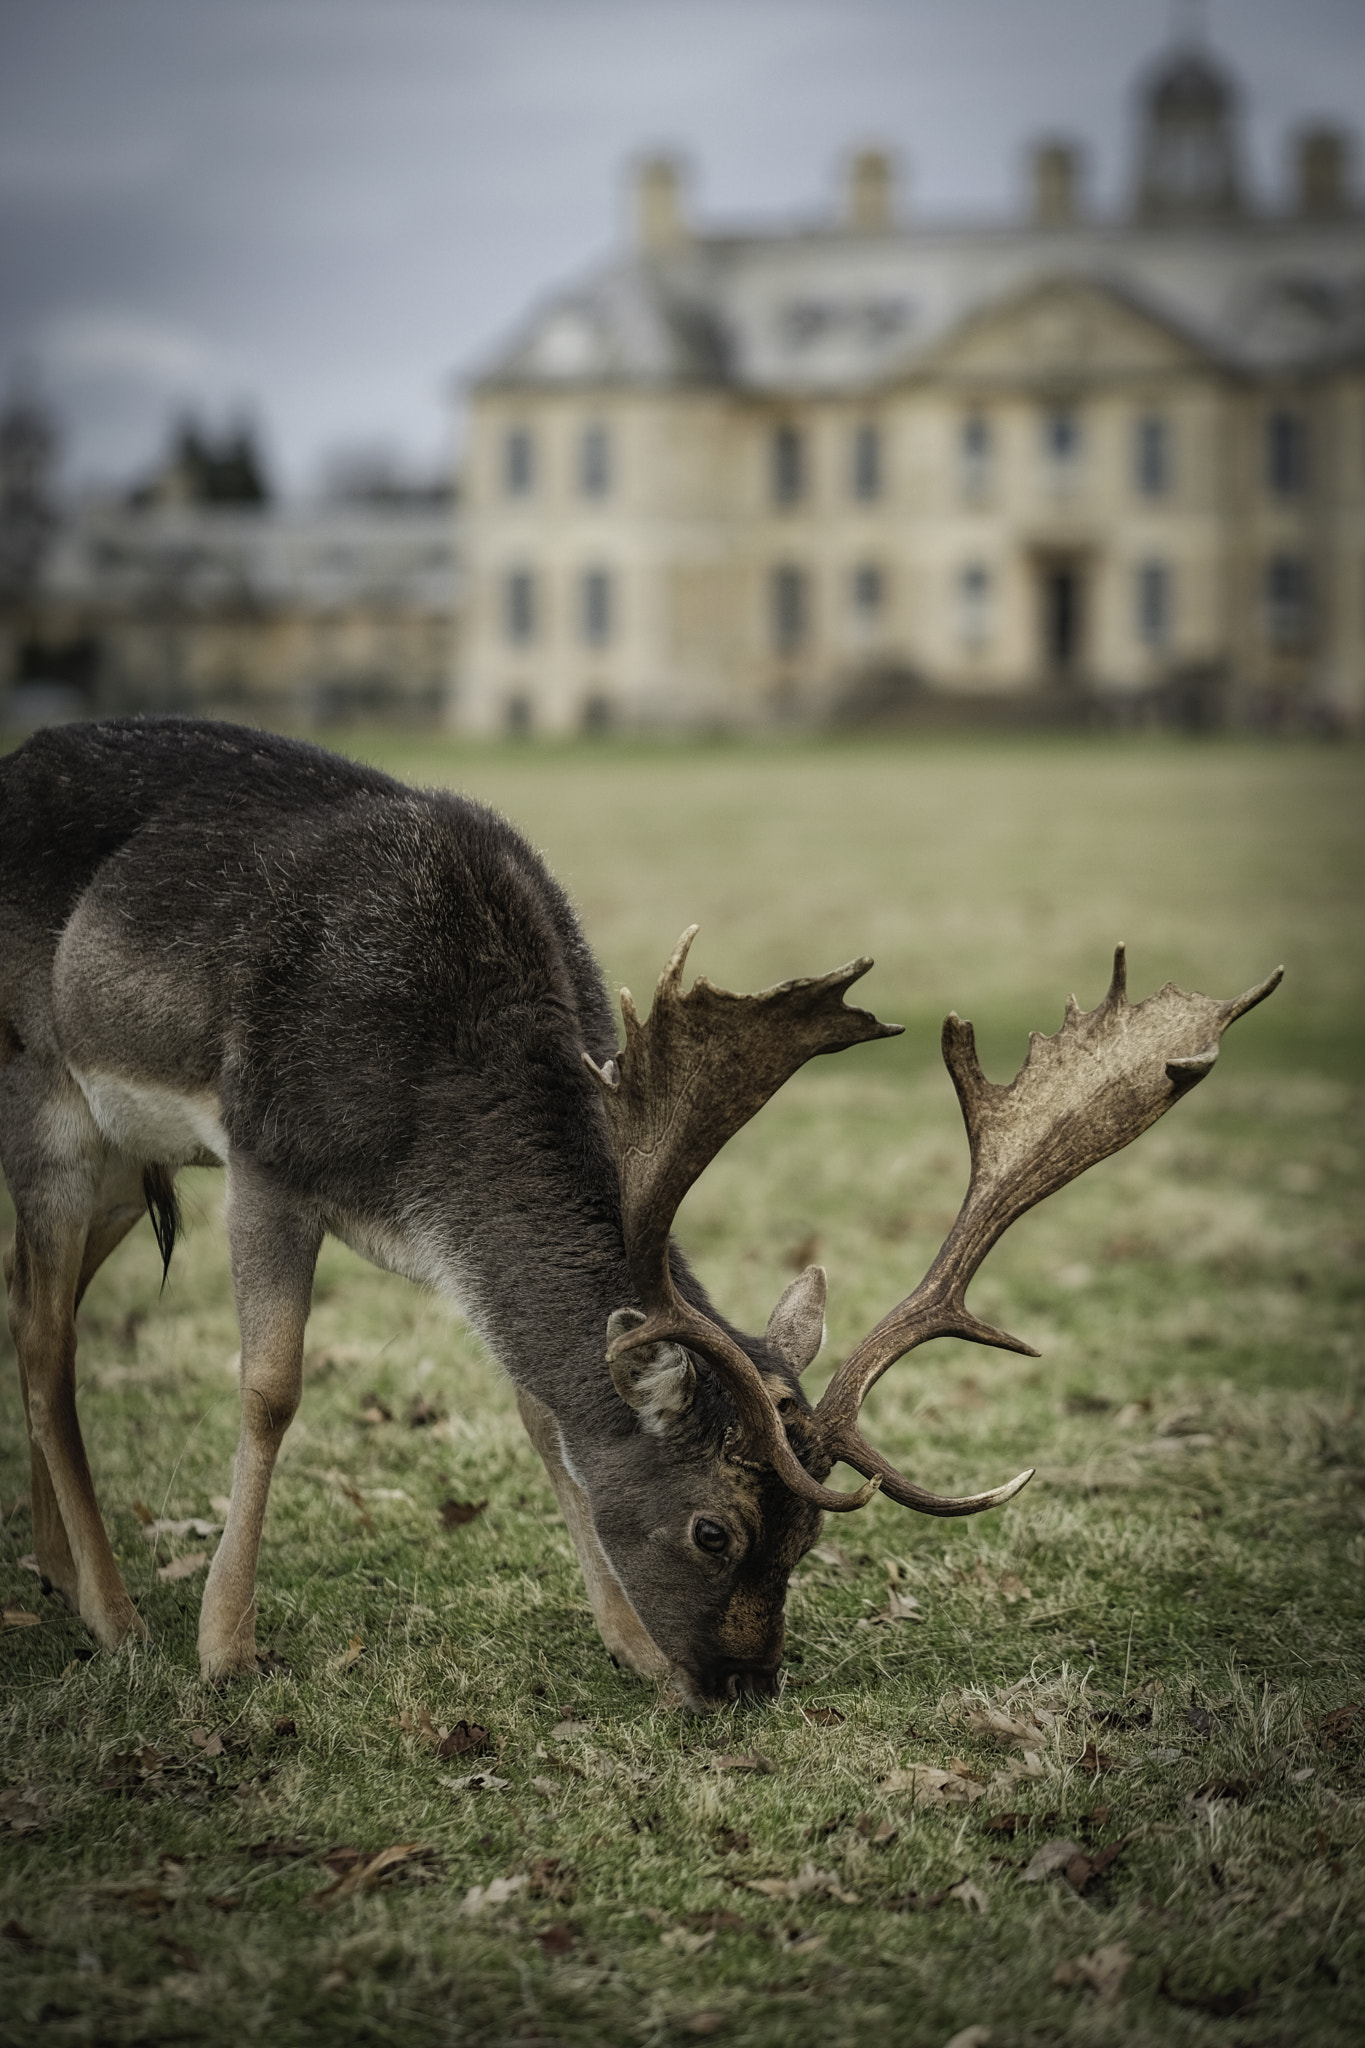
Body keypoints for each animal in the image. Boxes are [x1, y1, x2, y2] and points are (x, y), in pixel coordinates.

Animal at [2, 720, 1285, 1712]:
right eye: (714, 1529)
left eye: (807, 1537)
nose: (743, 1682)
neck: (430, 1142)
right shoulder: (270, 1152)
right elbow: (270, 1387)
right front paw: (227, 1650)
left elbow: (543, 1408)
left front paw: (626, 1642)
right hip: (49, 1096)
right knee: (49, 1332)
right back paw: (116, 1615)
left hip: (127, 1158)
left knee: (28, 1302)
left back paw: (58, 1573)